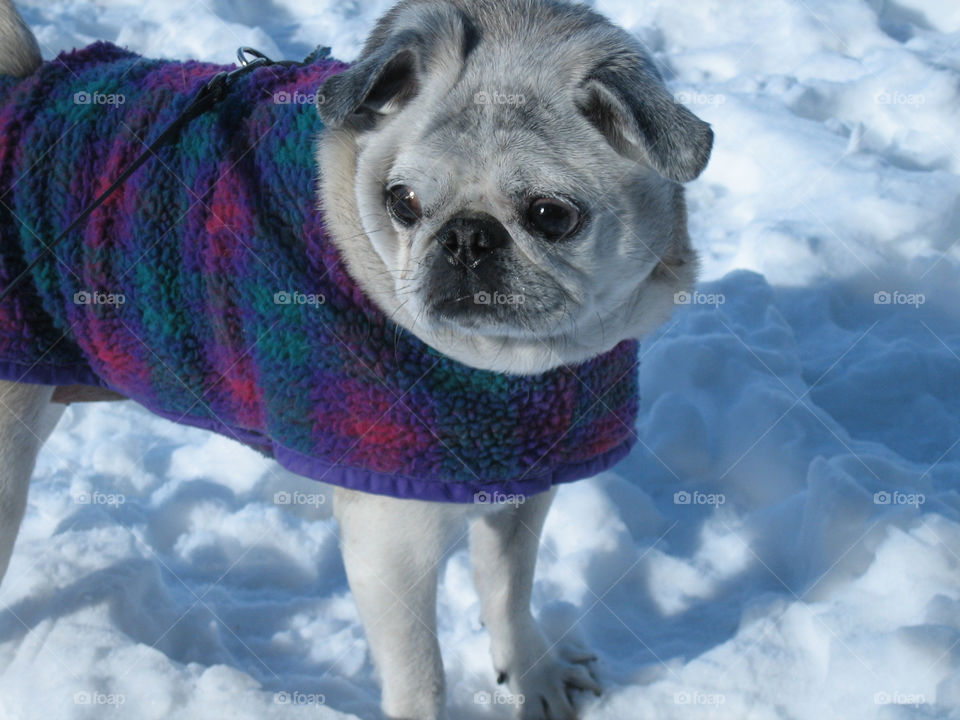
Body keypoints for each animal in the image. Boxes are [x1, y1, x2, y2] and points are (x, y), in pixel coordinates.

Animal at [0, 1, 712, 720]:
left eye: (550, 215)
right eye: (404, 203)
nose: (466, 237)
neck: (513, 367)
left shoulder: (520, 492)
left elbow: (508, 595)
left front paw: (532, 678)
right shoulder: (392, 542)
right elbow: (421, 677)